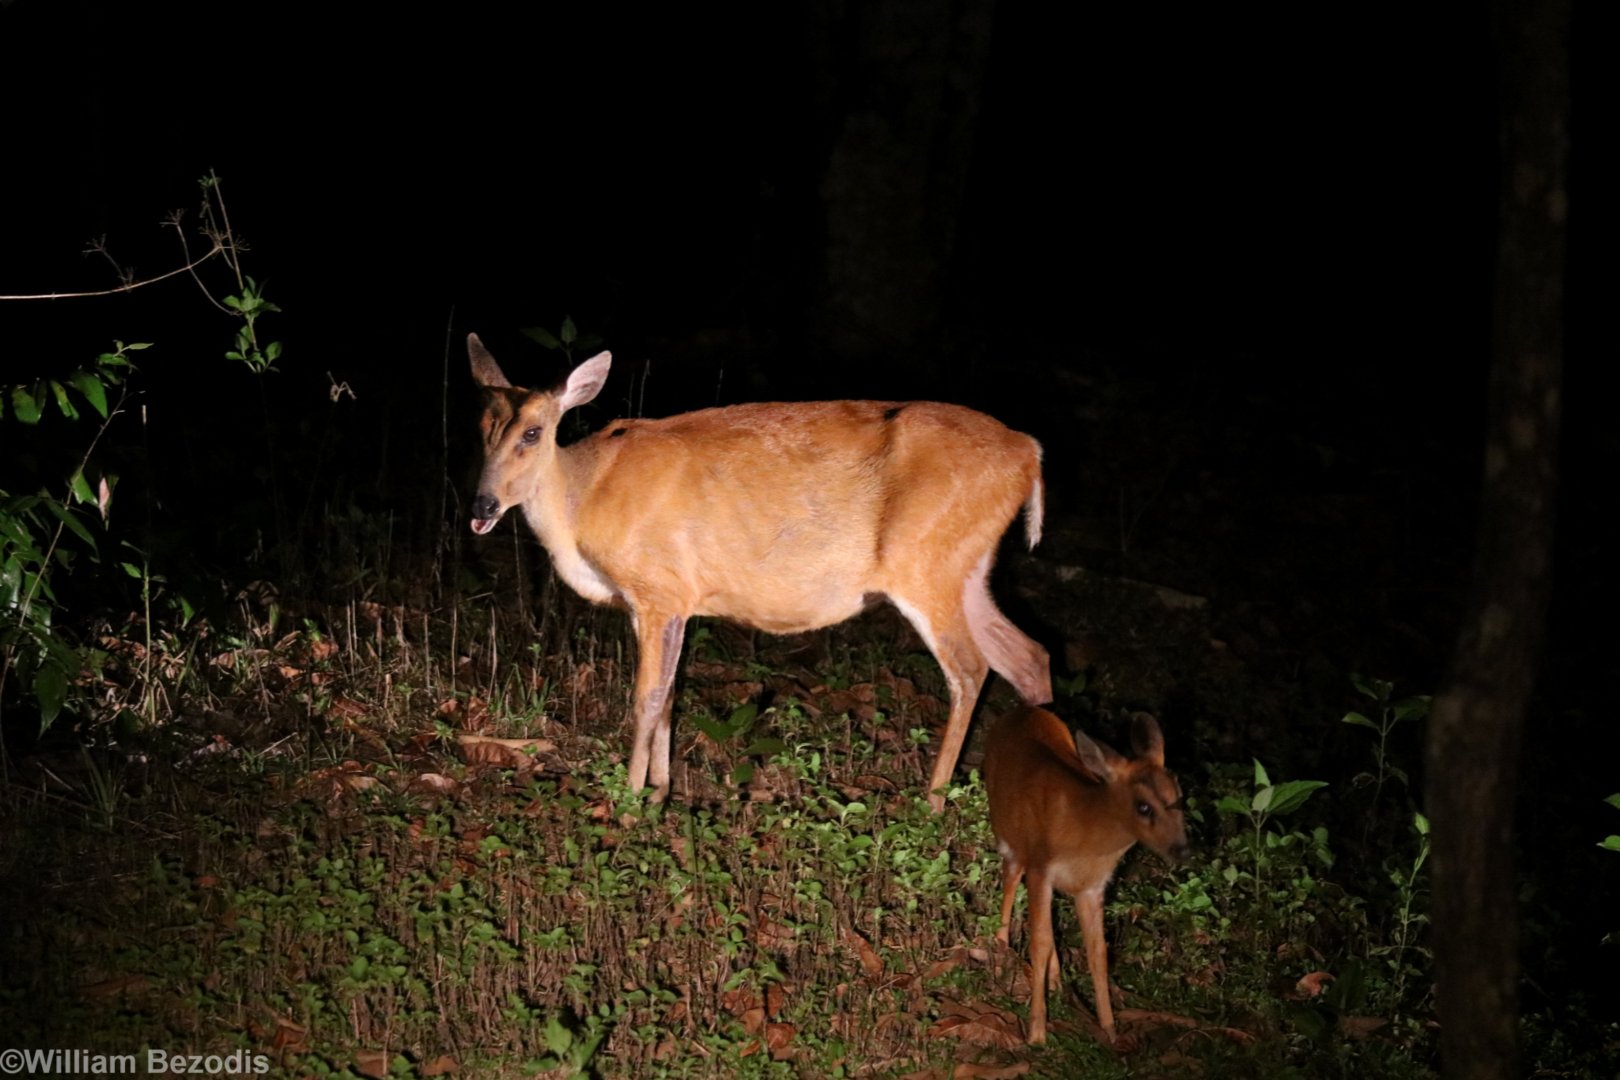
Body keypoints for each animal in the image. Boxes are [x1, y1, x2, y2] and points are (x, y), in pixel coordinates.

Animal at [467, 334, 1053, 813]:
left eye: (533, 433)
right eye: (483, 429)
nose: (482, 505)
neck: (581, 497)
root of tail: (1031, 454)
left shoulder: (660, 588)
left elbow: (647, 696)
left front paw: (628, 800)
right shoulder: (658, 601)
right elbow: (671, 692)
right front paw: (660, 791)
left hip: (926, 562)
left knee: (971, 669)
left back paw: (932, 802)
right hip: (967, 567)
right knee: (1029, 656)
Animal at [982, 705, 1189, 1046]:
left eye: (1180, 796)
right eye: (1144, 807)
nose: (1182, 849)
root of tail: (1022, 710)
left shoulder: (1092, 887)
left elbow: (1098, 950)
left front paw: (1110, 1029)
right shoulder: (1040, 866)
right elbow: (1038, 943)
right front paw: (1036, 1033)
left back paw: (1055, 982)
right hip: (1006, 829)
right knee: (1010, 878)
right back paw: (1000, 948)